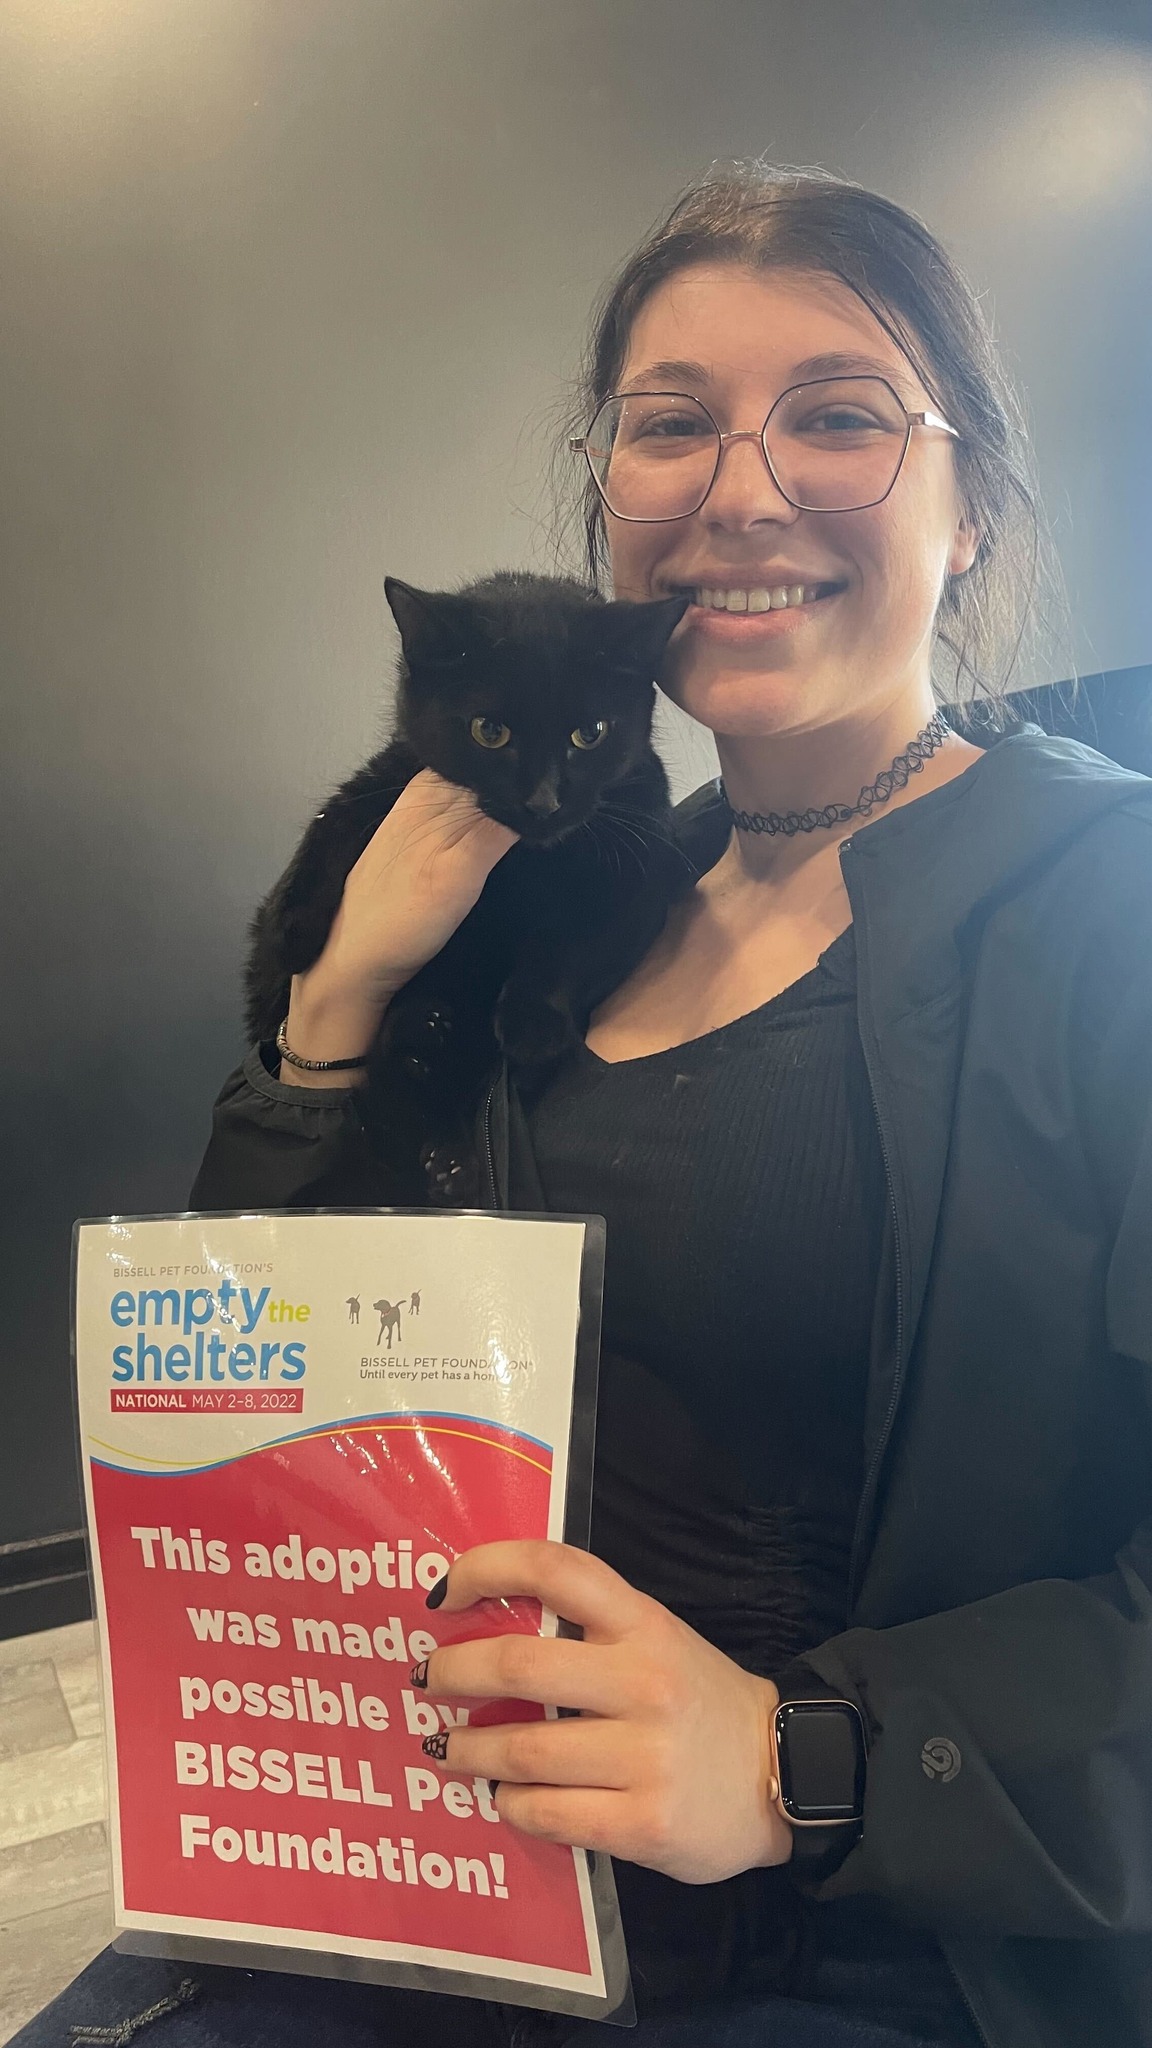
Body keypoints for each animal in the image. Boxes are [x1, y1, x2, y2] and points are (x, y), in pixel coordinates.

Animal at [245, 571, 691, 1204]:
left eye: (590, 734)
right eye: (489, 731)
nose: (544, 802)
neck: (523, 860)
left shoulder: (641, 867)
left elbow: (572, 945)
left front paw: (533, 1022)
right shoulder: (390, 779)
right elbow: (329, 828)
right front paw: (291, 933)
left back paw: (448, 1153)